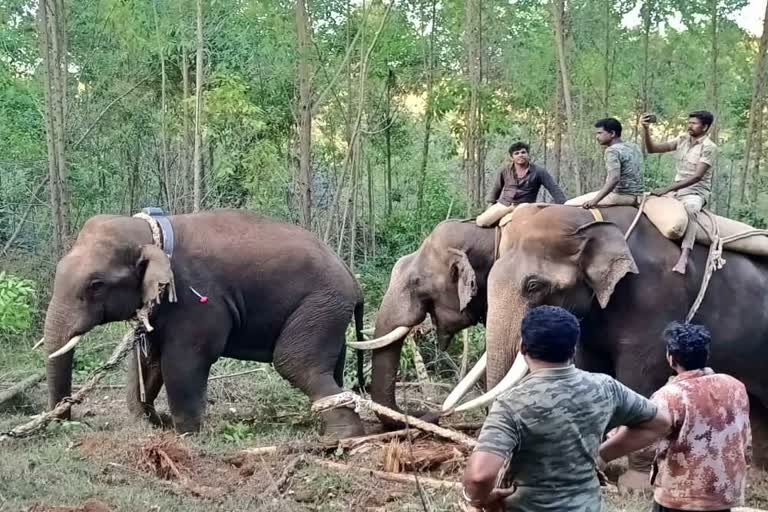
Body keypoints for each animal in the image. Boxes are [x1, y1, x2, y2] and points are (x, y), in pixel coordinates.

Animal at [41, 206, 366, 438]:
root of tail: (352, 278)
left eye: (96, 285)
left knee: (294, 361)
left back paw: (340, 437)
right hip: (329, 312)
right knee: (329, 365)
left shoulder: (196, 300)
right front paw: (151, 423)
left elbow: (182, 362)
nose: (66, 423)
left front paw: (186, 434)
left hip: (319, 304)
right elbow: (148, 360)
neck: (153, 233)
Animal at [448, 204, 768, 476]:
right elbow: (593, 367)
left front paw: (632, 481)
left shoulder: (655, 300)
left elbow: (640, 376)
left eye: (534, 285)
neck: (591, 219)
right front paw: (597, 466)